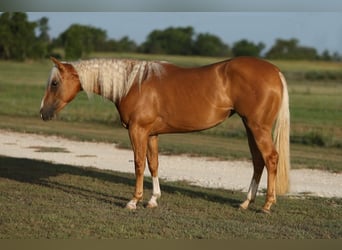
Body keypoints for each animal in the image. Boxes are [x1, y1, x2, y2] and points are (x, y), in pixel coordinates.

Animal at [41, 56, 290, 213]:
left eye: (54, 83)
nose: (43, 112)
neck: (133, 83)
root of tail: (275, 72)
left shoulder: (138, 130)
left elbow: (139, 164)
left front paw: (133, 201)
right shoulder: (151, 134)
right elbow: (154, 164)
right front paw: (153, 200)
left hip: (258, 127)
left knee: (271, 158)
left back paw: (267, 205)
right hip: (250, 127)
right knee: (258, 161)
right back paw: (246, 203)